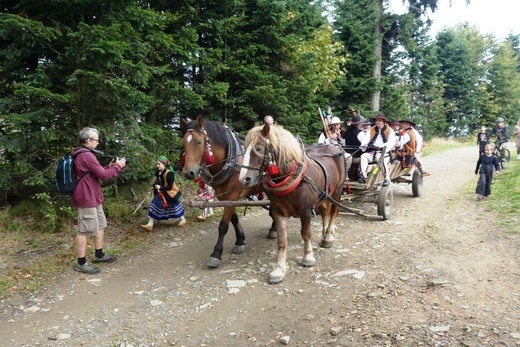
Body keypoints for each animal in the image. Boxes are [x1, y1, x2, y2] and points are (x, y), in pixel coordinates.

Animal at [180, 117, 274, 270]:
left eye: (199, 141)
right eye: (183, 142)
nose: (189, 173)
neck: (232, 162)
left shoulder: (233, 195)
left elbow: (223, 225)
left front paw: (216, 254)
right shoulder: (225, 197)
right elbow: (234, 219)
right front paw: (240, 241)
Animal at [242, 123, 348, 284]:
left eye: (258, 148)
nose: (245, 179)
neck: (290, 176)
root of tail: (334, 147)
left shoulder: (306, 211)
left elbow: (306, 233)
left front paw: (308, 257)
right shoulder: (278, 212)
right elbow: (281, 241)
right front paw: (279, 270)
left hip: (337, 190)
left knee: (334, 212)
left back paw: (329, 237)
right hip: (323, 195)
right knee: (324, 211)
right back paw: (324, 235)